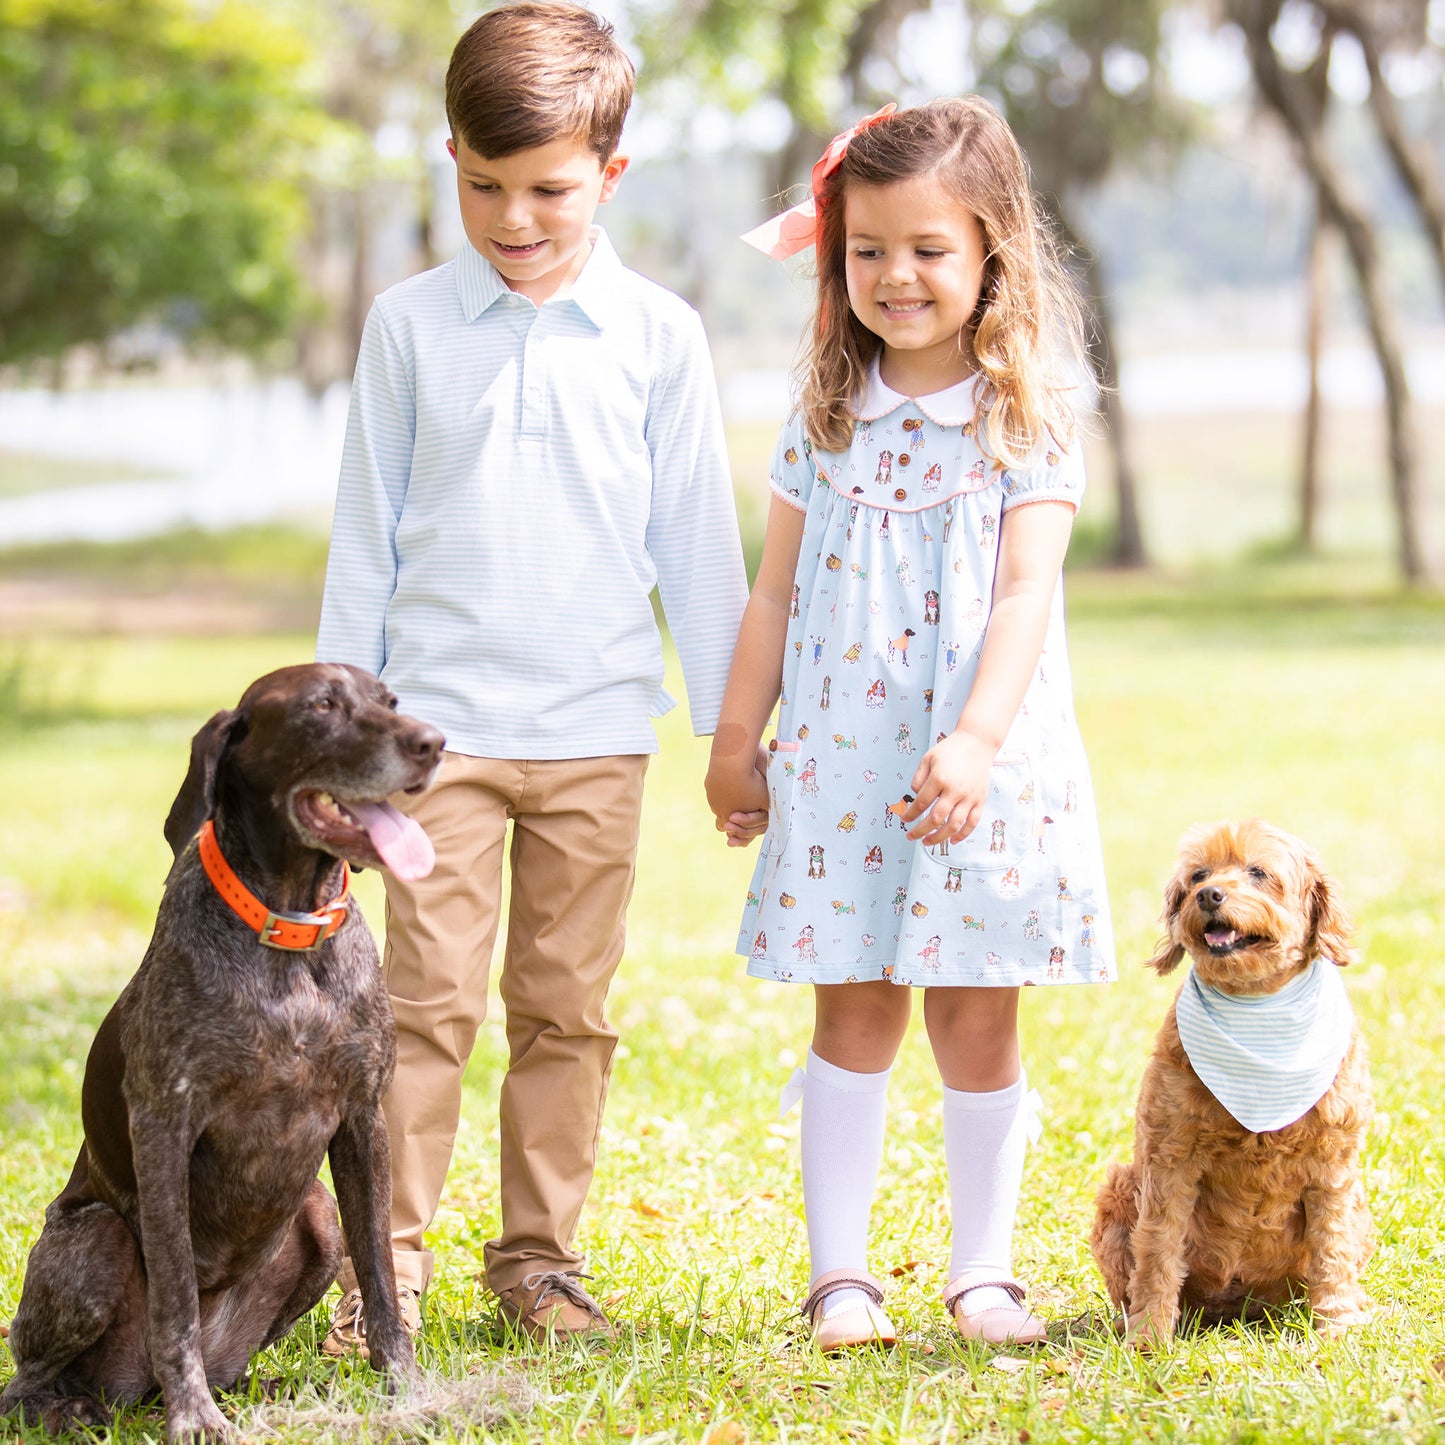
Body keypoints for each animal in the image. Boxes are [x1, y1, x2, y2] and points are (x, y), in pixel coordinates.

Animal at [0, 664, 442, 1445]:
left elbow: (382, 1279)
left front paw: (407, 1393)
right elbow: (174, 1294)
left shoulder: (364, 1120)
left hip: (316, 1215)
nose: (433, 742)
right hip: (97, 1239)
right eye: (321, 706)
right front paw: (195, 1418)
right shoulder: (165, 1128)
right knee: (27, 1380)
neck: (289, 930)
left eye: (390, 701)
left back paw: (263, 1388)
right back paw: (73, 1407)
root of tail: (134, 1391)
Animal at [1086, 820, 1369, 1346]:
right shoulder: (1168, 1159)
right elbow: (1157, 1252)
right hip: (1118, 1190)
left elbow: (1333, 1249)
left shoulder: (1333, 1165)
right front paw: (1149, 1337)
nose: (1209, 894)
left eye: (1258, 872)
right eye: (1199, 874)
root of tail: (1233, 1310)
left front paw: (1338, 1322)